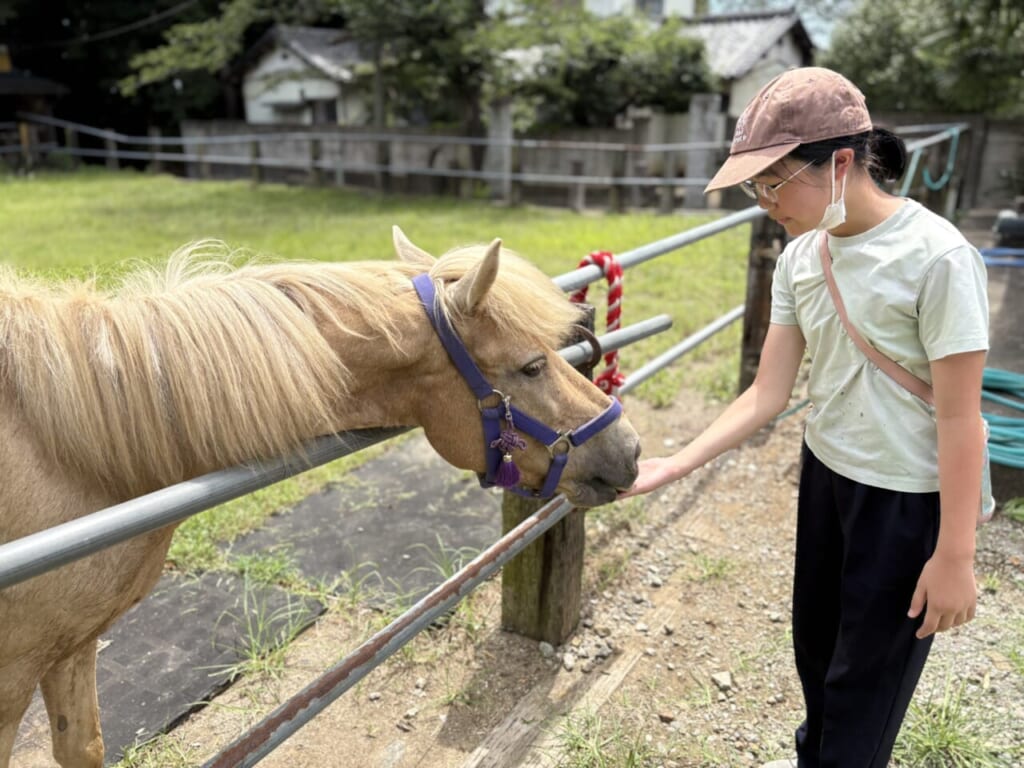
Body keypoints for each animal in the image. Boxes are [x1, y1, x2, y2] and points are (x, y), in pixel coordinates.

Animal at [0, 226, 641, 768]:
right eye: (531, 365)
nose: (630, 447)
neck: (74, 446)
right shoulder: (14, 675)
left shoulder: (72, 647)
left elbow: (84, 747)